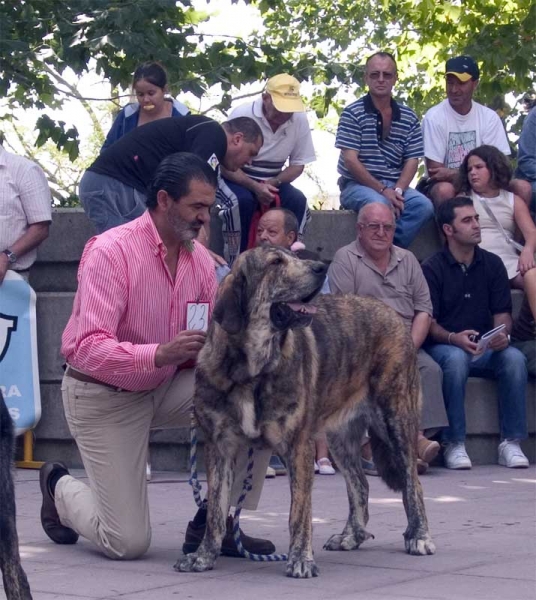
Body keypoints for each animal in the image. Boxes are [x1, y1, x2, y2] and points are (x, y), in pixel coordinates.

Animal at [176, 246, 436, 580]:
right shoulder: (220, 448)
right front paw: (204, 555)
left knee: (412, 482)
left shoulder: (298, 446)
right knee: (360, 483)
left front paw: (300, 558)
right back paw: (352, 536)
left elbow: (298, 512)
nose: (321, 268)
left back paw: (418, 535)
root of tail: (392, 313)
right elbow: (216, 511)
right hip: (341, 438)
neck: (253, 368)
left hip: (396, 420)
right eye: (276, 262)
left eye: (294, 256)